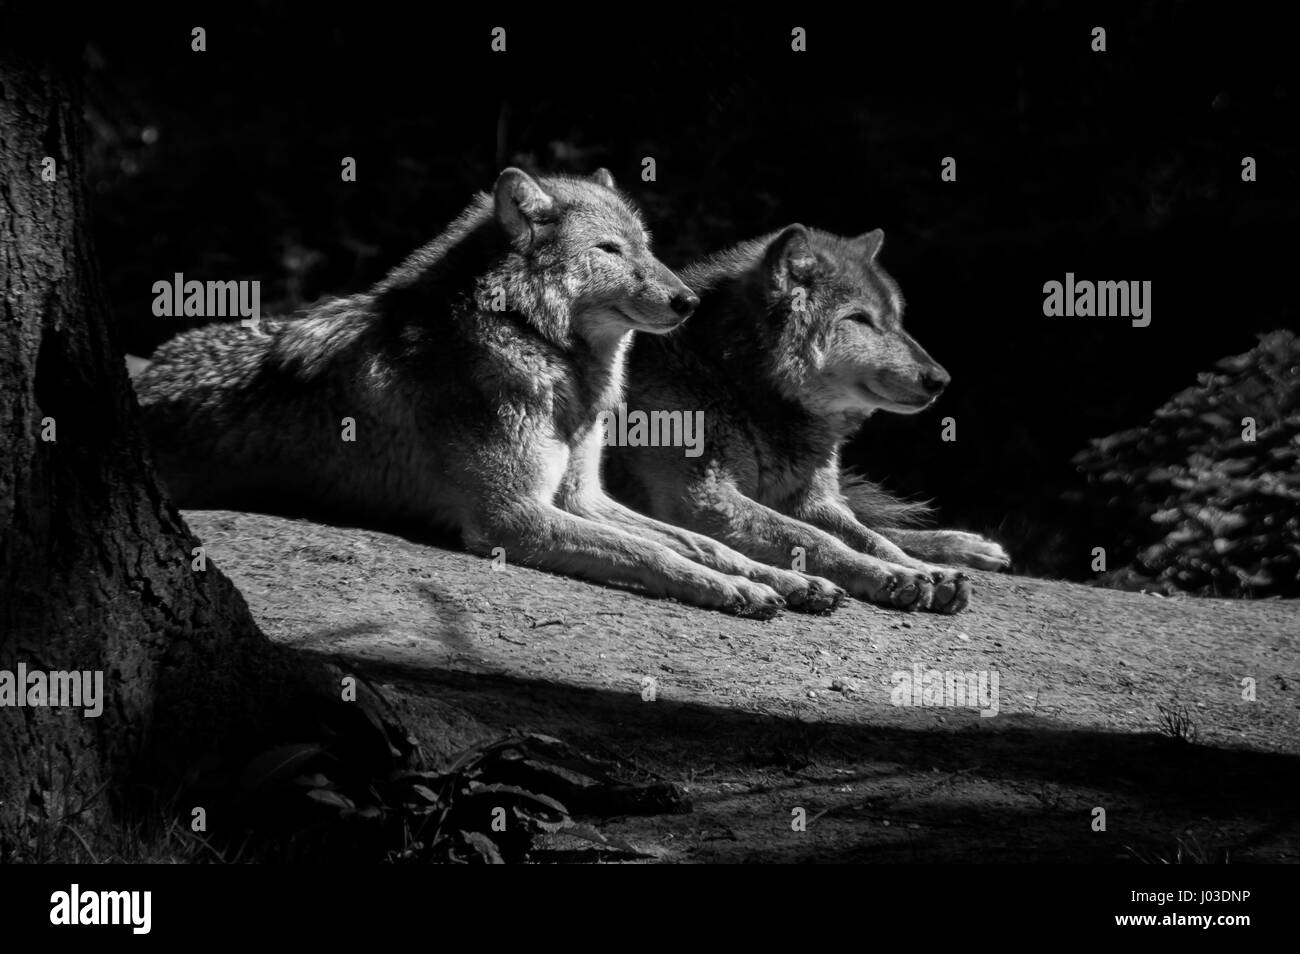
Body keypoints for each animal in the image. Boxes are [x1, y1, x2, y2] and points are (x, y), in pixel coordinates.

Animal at [133, 170, 846, 618]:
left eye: (647, 247)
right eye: (609, 250)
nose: (688, 301)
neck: (544, 351)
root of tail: (147, 373)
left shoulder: (583, 496)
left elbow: (698, 541)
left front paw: (787, 579)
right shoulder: (512, 517)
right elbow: (654, 551)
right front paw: (735, 591)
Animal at [608, 224, 1010, 614]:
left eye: (896, 321)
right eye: (859, 319)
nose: (940, 380)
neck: (735, 380)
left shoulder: (812, 501)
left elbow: (872, 539)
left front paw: (926, 572)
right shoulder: (705, 498)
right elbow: (816, 538)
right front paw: (891, 575)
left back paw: (971, 548)